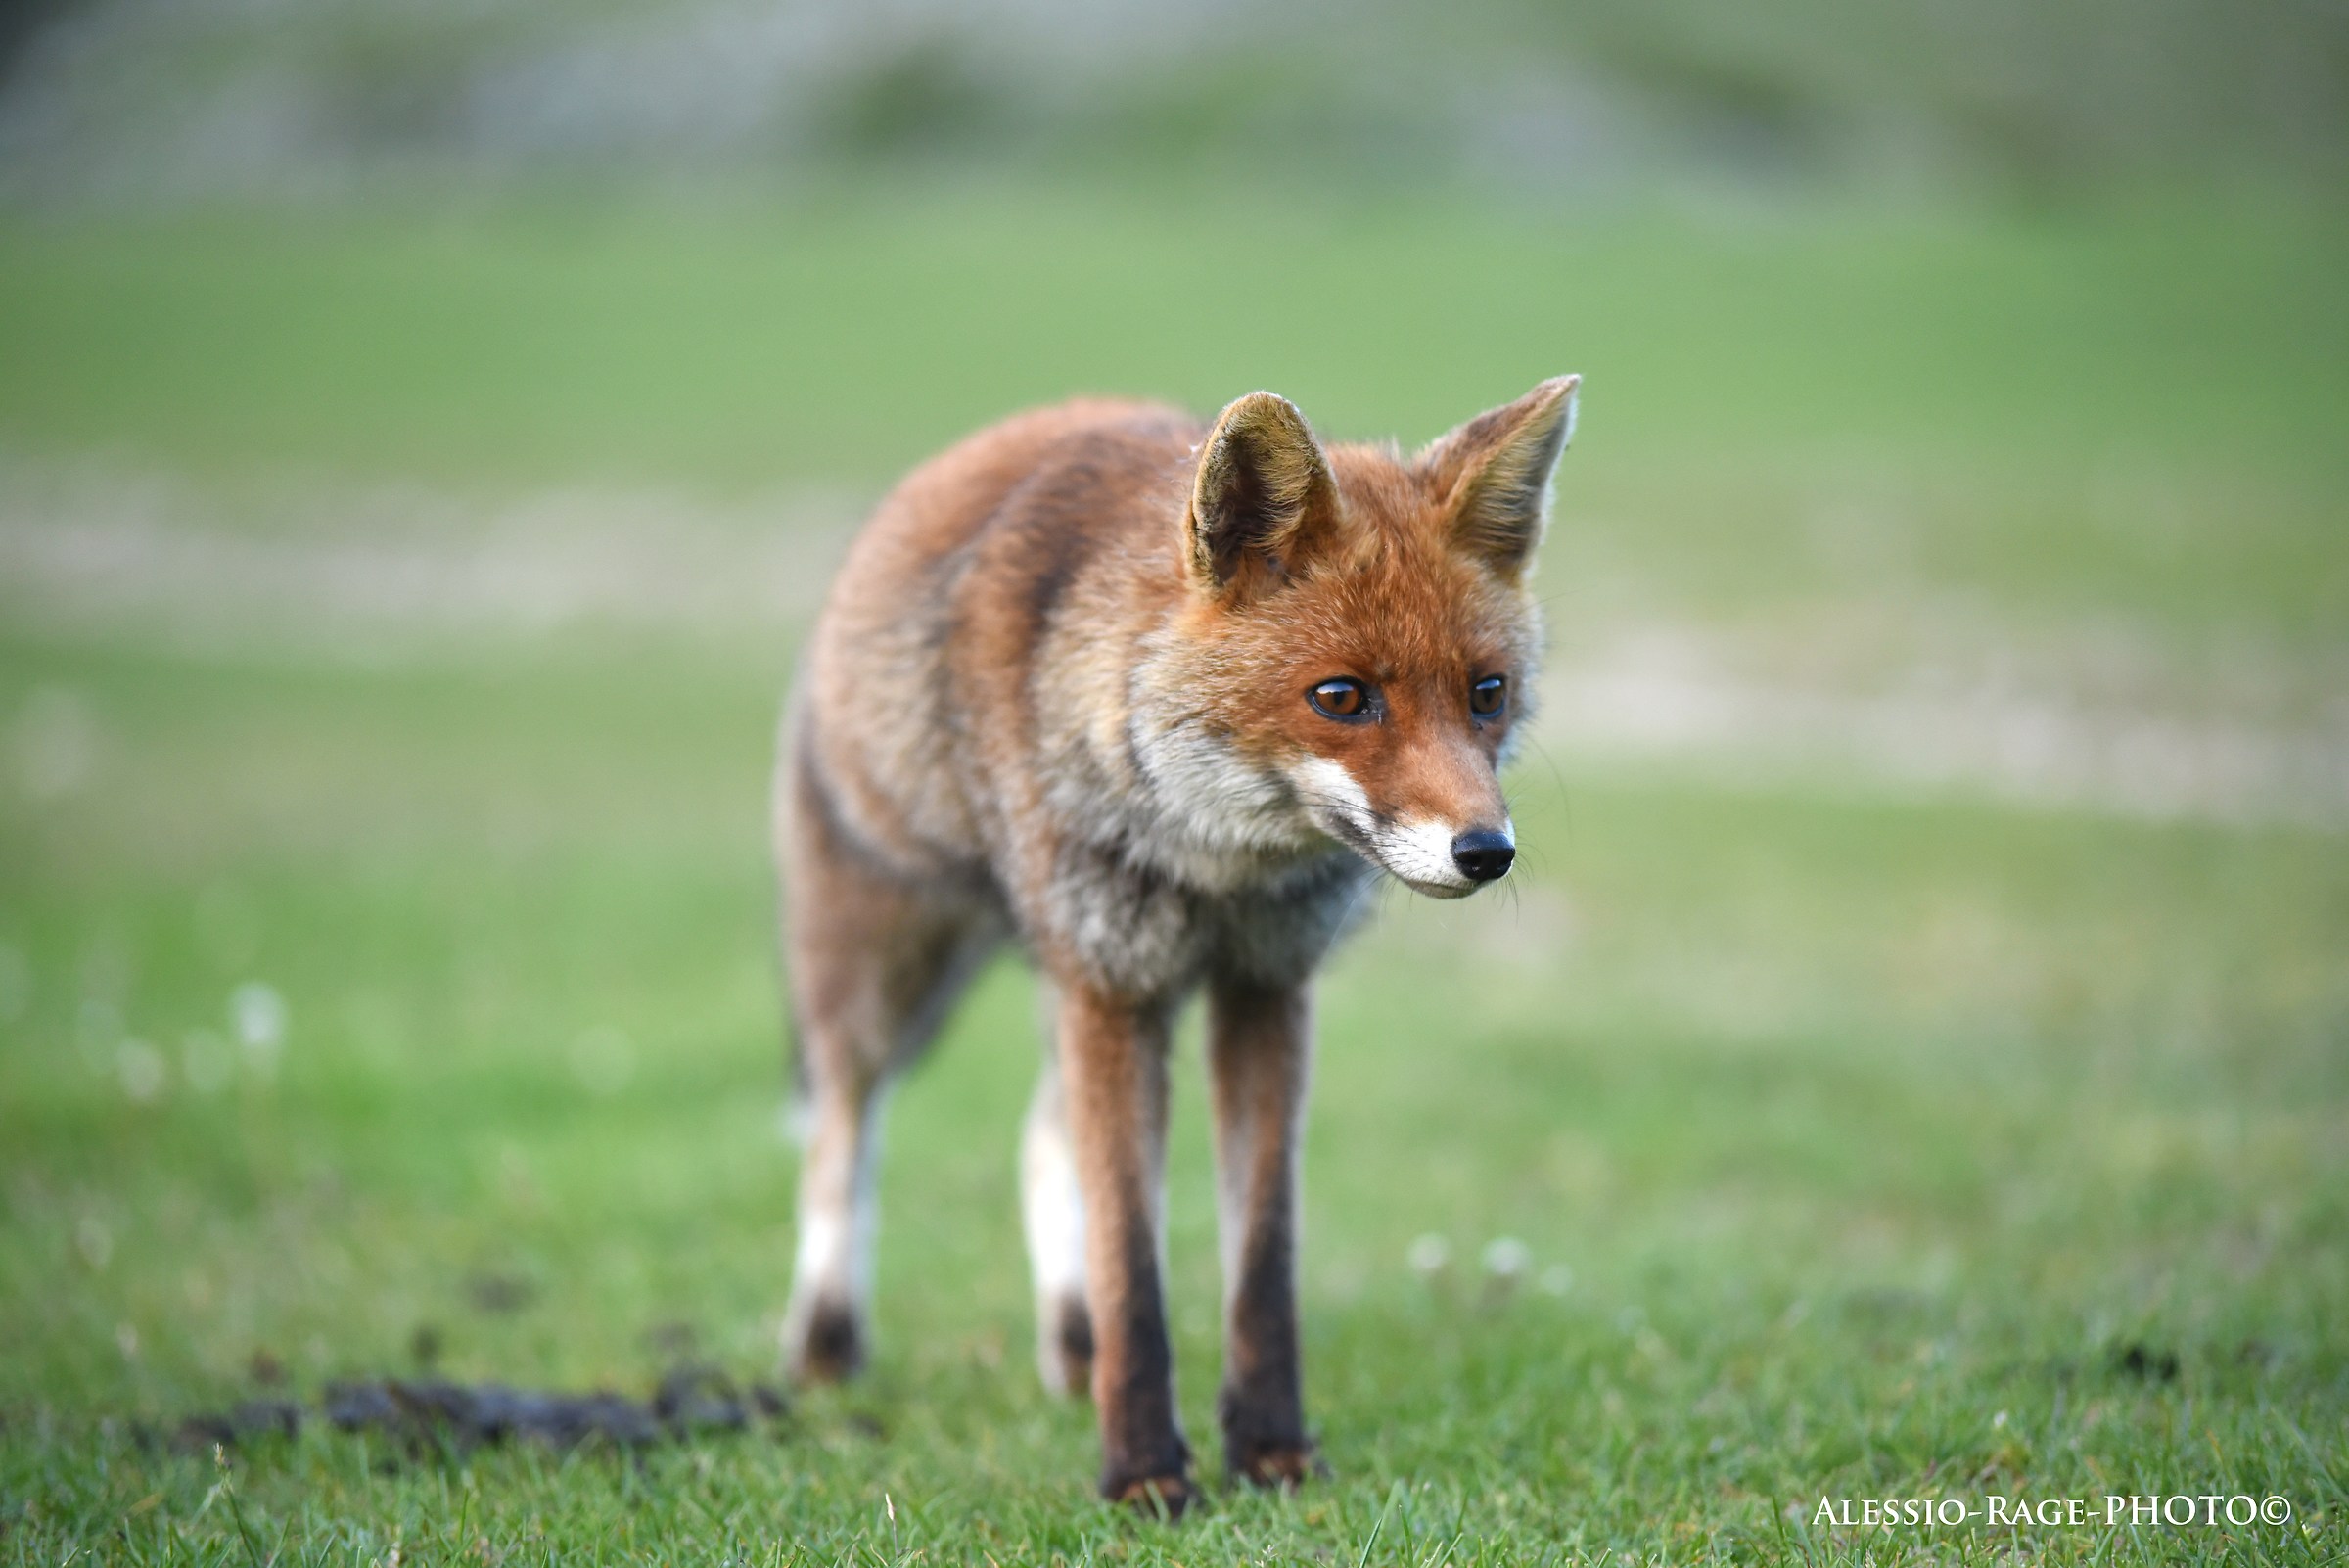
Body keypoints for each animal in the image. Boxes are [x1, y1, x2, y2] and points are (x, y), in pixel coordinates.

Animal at [775, 375, 1580, 1514]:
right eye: (1343, 698)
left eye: (1487, 693)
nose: (1487, 851)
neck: (1218, 874)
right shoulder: (1116, 991)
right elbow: (1133, 1262)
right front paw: (1146, 1473)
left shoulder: (1260, 989)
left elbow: (1261, 1260)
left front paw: (1273, 1452)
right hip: (894, 975)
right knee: (840, 1137)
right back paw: (827, 1345)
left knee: (1037, 1141)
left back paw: (1071, 1349)